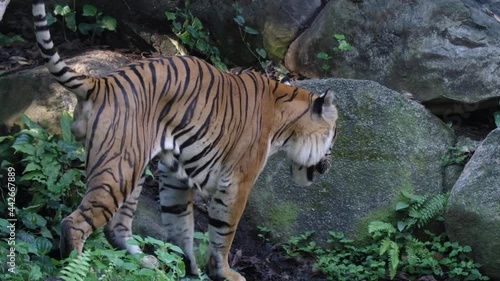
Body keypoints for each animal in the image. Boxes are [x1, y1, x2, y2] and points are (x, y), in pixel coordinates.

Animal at [32, 0, 340, 278]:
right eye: (334, 137)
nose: (329, 164)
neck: (284, 121)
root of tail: (102, 82)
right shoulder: (237, 182)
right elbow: (223, 232)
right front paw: (224, 273)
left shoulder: (175, 176)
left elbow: (180, 226)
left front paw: (188, 269)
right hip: (118, 171)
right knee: (74, 223)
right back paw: (79, 267)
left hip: (132, 170)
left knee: (115, 227)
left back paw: (144, 261)